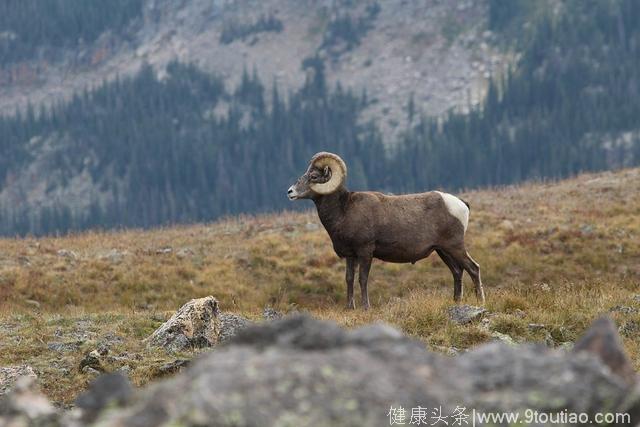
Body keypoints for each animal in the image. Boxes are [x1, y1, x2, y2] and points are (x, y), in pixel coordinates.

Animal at [288, 152, 484, 310]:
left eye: (313, 176)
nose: (290, 192)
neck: (343, 210)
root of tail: (461, 204)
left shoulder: (365, 252)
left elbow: (363, 279)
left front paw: (365, 307)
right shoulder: (351, 256)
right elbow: (349, 279)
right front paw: (349, 308)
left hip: (454, 247)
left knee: (473, 268)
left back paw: (480, 301)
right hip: (442, 250)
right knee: (457, 272)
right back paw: (456, 301)